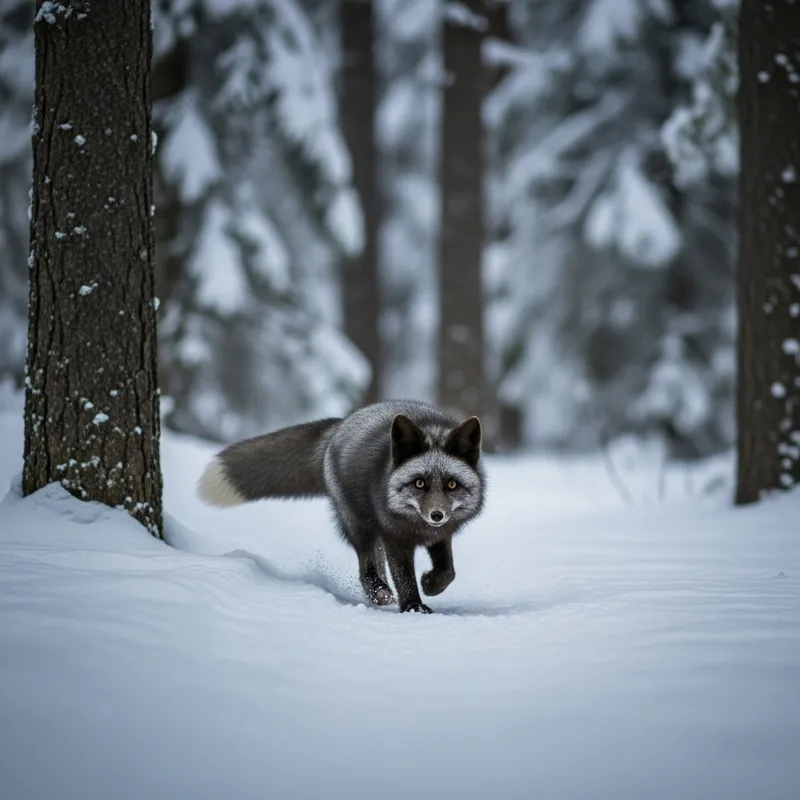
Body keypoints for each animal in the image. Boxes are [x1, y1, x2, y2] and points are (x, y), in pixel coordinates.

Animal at [197, 399, 485, 613]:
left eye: (451, 484)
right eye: (419, 483)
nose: (437, 515)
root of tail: (341, 424)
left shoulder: (442, 535)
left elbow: (448, 572)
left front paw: (430, 584)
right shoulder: (395, 537)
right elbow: (404, 577)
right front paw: (413, 606)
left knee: (376, 562)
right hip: (359, 525)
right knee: (366, 565)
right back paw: (378, 592)